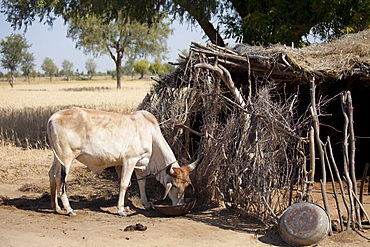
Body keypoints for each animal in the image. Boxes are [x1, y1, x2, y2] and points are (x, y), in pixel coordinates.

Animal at [47, 107, 201, 215]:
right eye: (174, 185)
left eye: (186, 185)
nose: (179, 203)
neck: (151, 135)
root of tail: (53, 117)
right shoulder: (129, 160)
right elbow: (124, 184)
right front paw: (121, 209)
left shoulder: (140, 164)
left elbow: (141, 184)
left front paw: (145, 204)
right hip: (66, 159)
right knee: (61, 180)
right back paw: (69, 209)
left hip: (57, 158)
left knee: (52, 174)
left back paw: (56, 207)